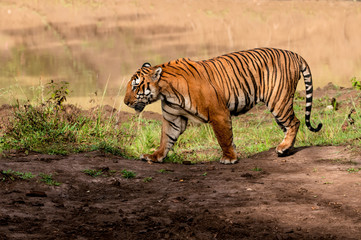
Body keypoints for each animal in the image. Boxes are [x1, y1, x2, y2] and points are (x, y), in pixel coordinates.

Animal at [123, 47, 320, 163]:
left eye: (135, 86)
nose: (125, 102)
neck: (165, 92)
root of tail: (294, 54)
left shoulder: (218, 113)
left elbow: (224, 137)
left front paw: (229, 157)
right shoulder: (174, 118)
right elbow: (165, 138)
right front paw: (155, 156)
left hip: (278, 100)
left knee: (294, 122)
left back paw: (284, 147)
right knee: (289, 125)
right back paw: (286, 148)